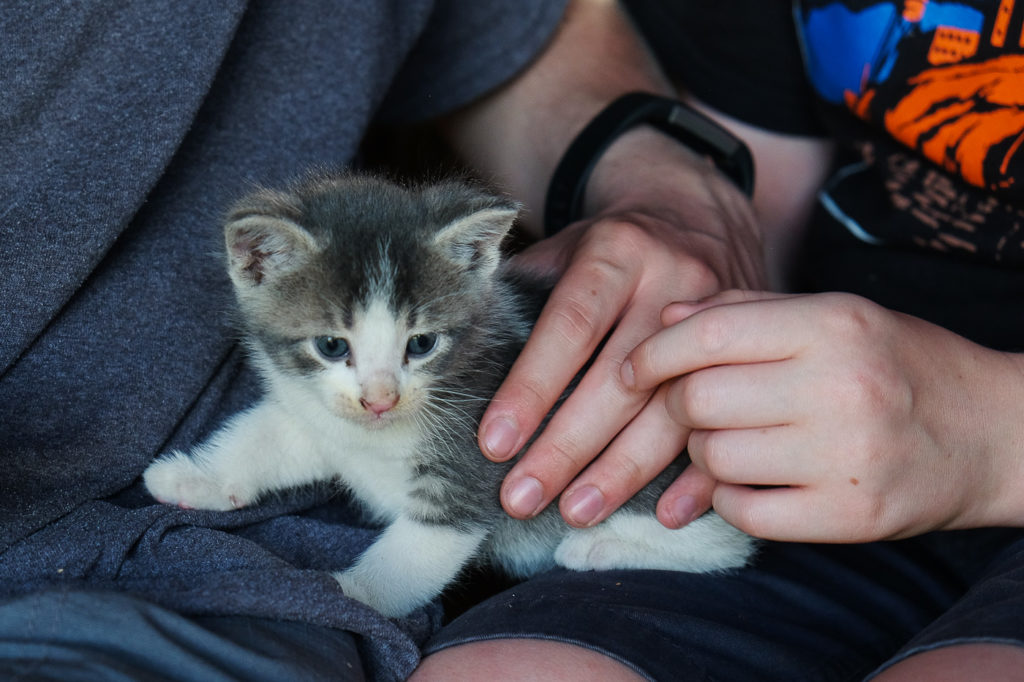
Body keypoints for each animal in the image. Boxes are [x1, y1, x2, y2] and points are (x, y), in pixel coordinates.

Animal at [142, 171, 753, 614]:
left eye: (422, 343)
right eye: (332, 346)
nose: (380, 399)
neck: (376, 435)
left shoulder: (473, 467)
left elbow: (414, 555)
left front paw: (348, 595)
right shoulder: (314, 416)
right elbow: (266, 438)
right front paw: (195, 478)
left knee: (729, 541)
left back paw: (601, 545)